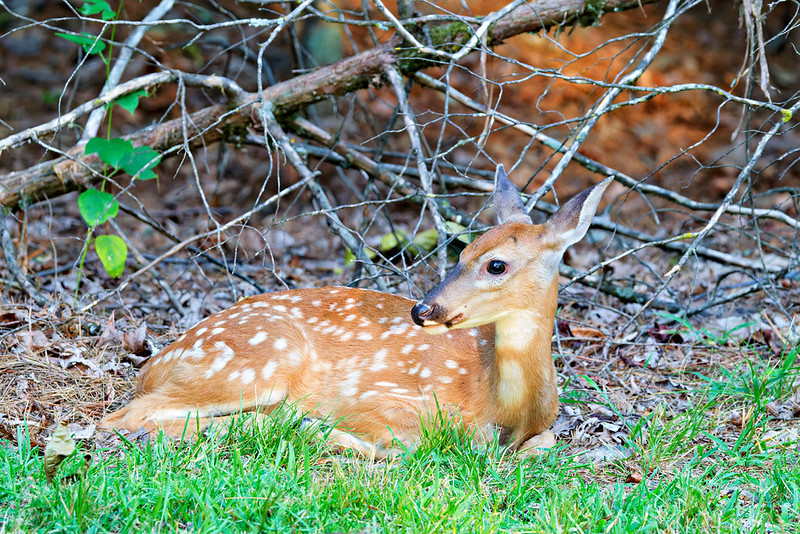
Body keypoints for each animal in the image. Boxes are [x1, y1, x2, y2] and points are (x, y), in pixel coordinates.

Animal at [102, 165, 611, 458]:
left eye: (496, 264)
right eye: (461, 252)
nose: (423, 309)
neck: (506, 407)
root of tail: (154, 362)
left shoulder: (541, 429)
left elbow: (541, 445)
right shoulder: (376, 396)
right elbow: (414, 442)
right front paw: (332, 434)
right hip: (260, 361)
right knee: (127, 417)